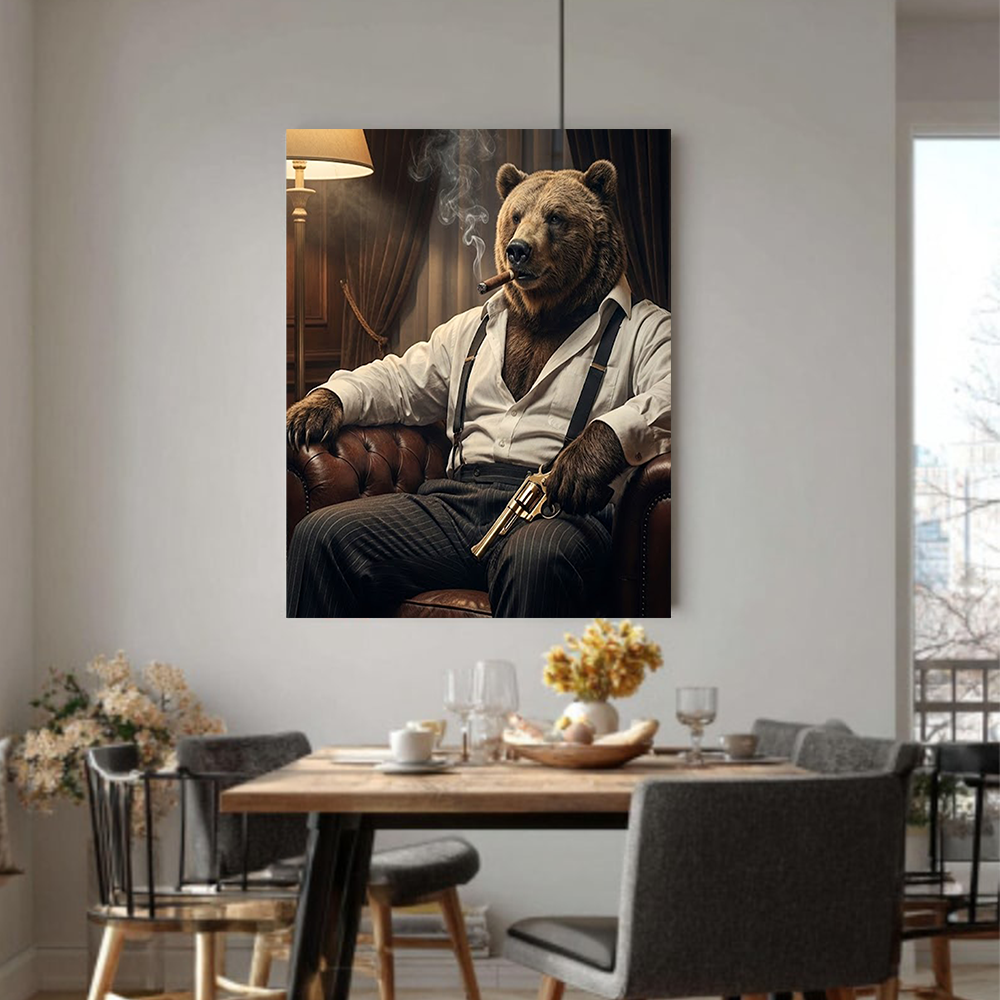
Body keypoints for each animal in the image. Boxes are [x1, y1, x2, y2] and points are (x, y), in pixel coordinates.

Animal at [286, 158, 672, 617]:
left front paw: (577, 465)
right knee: (321, 535)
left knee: (538, 566)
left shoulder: (649, 327)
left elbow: (661, 383)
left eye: (556, 217)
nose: (517, 250)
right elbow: (401, 377)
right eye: (516, 215)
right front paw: (311, 409)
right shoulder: (458, 333)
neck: (547, 312)